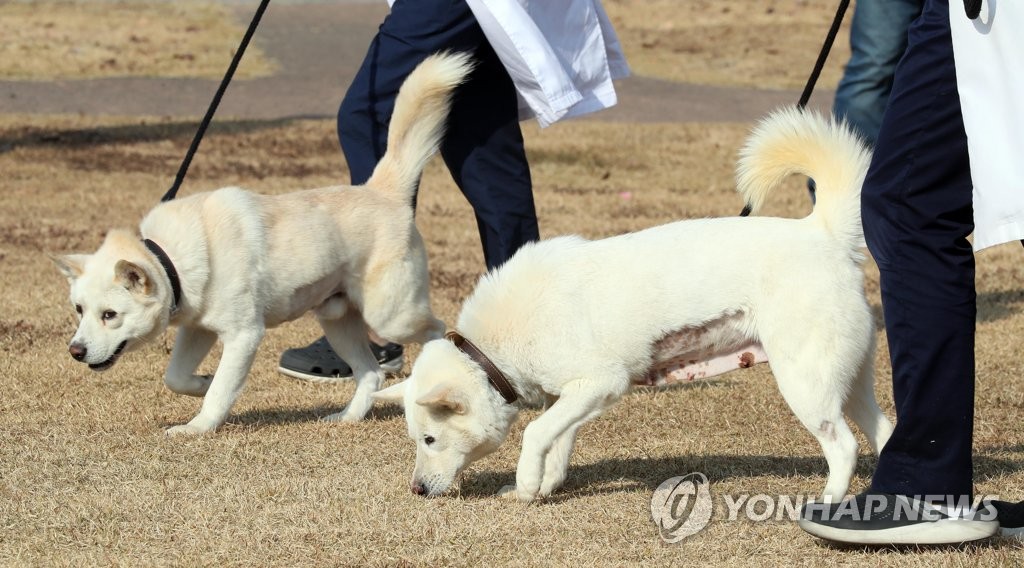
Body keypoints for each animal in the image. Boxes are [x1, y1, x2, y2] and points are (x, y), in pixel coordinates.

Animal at [54, 52, 473, 435]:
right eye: (79, 309)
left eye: (110, 314)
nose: (75, 351)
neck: (170, 258)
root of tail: (383, 191)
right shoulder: (198, 328)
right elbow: (175, 377)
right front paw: (201, 382)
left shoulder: (243, 336)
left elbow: (221, 392)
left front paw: (197, 427)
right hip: (337, 319)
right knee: (370, 374)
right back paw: (348, 417)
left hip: (393, 314)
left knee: (437, 331)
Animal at [378, 108, 897, 505]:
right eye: (415, 439)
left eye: (429, 439)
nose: (416, 490)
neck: (492, 351)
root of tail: (822, 232)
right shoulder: (573, 396)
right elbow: (557, 441)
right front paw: (544, 487)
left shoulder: (602, 383)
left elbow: (534, 435)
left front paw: (525, 486)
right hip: (849, 380)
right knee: (886, 431)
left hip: (806, 384)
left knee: (844, 447)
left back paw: (828, 501)